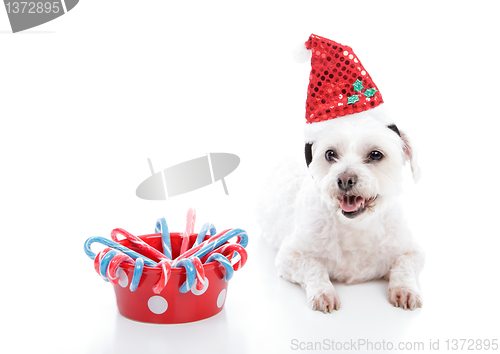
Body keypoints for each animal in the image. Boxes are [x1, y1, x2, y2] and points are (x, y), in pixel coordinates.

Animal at [256, 105, 424, 312]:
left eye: (376, 154)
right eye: (330, 154)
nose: (344, 179)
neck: (355, 227)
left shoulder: (412, 251)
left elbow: (404, 265)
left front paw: (405, 289)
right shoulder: (289, 256)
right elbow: (314, 267)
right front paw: (323, 292)